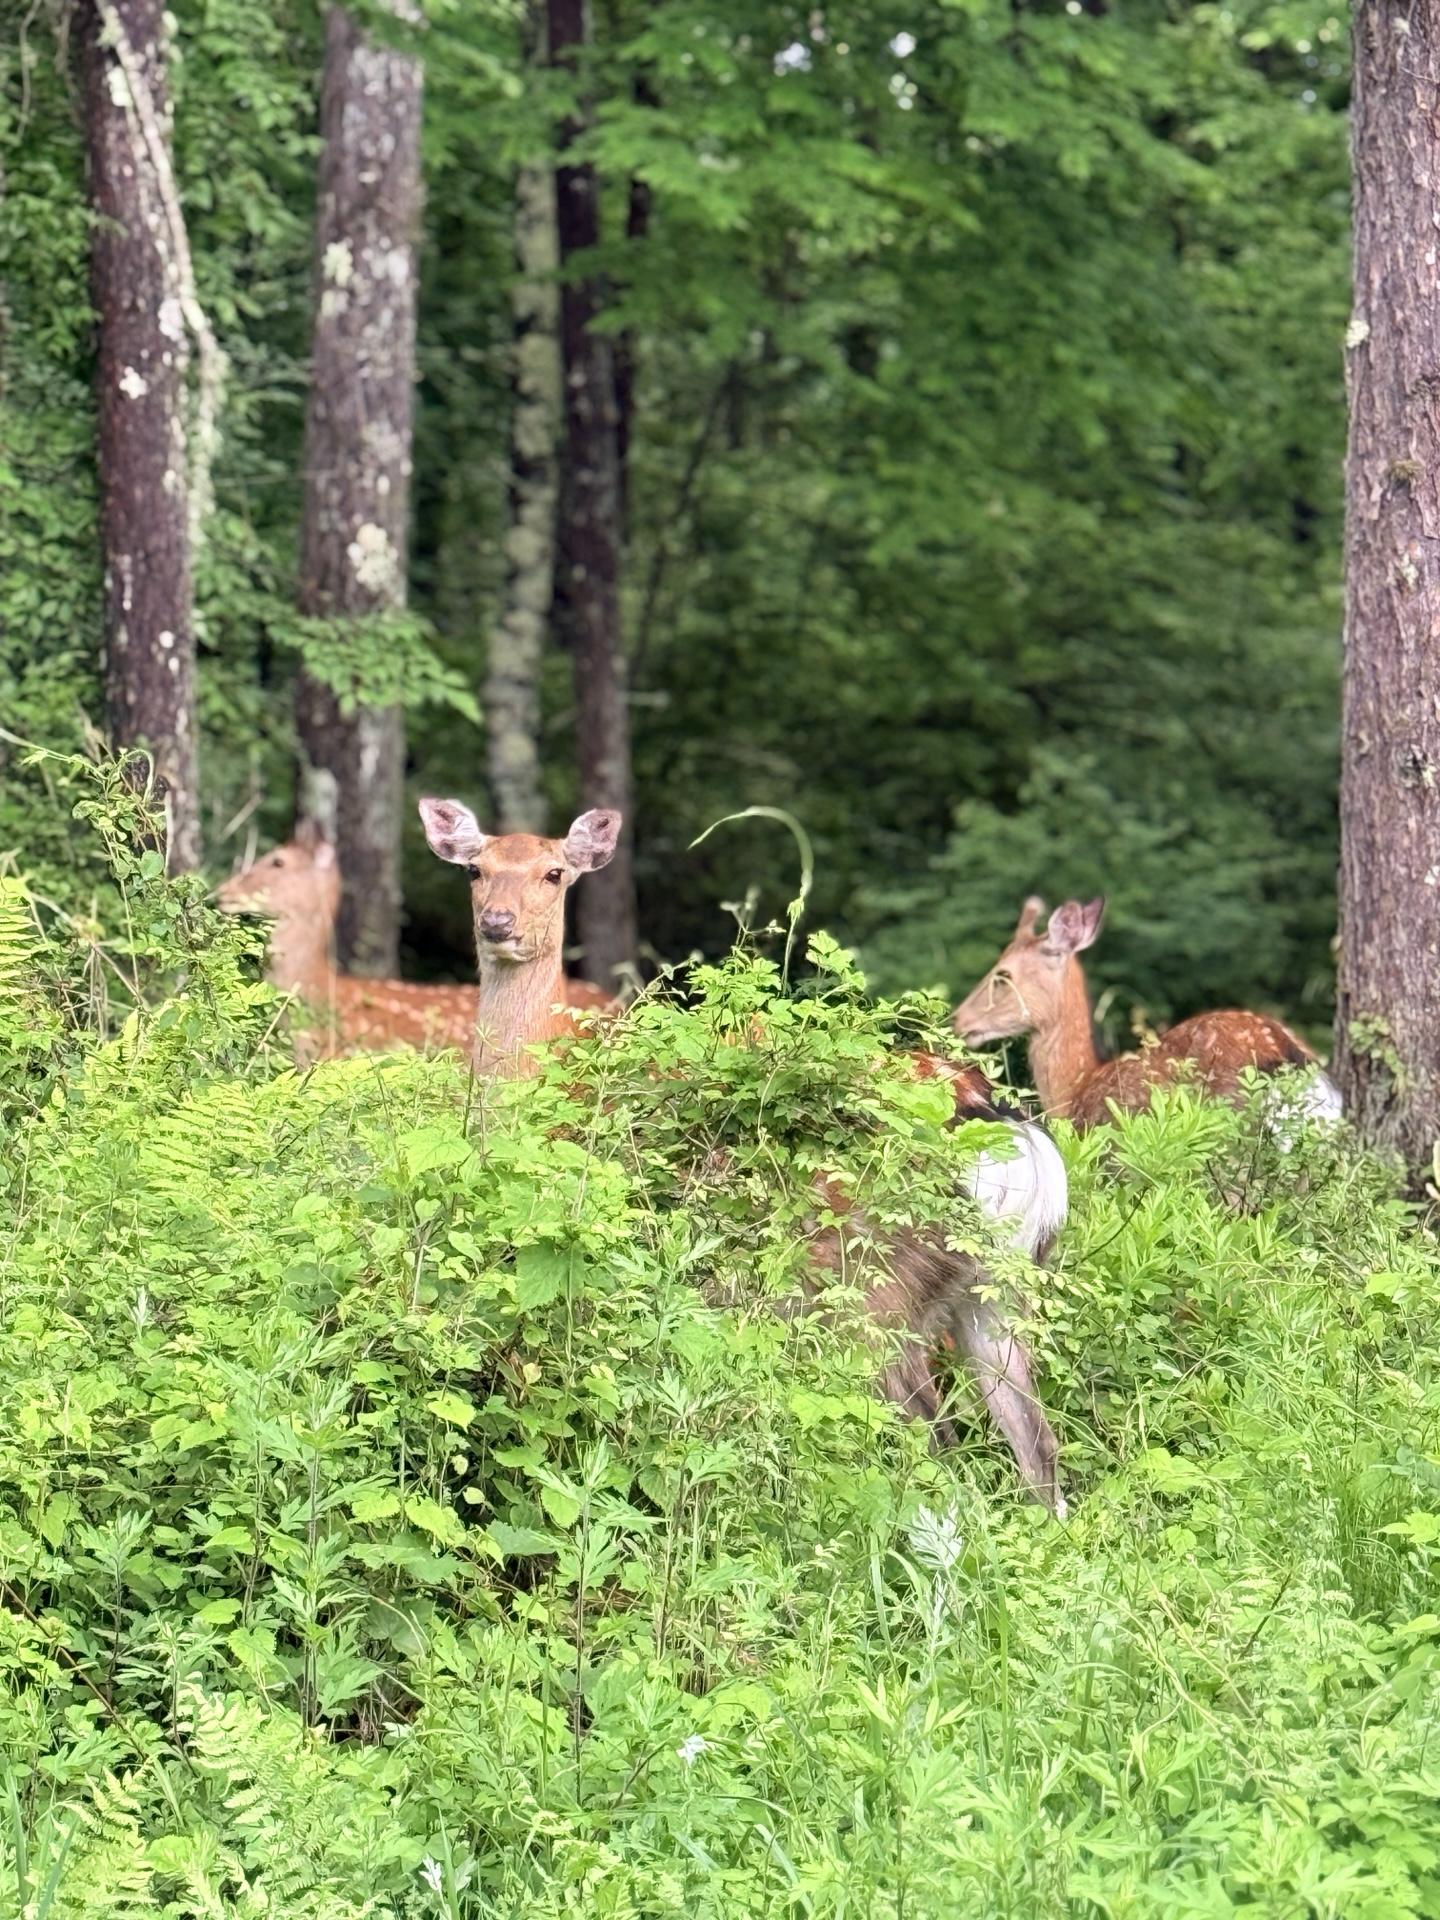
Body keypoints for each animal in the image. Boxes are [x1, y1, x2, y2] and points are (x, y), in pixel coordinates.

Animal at [420, 794, 1067, 1514]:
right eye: (475, 869)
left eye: (554, 872)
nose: (497, 923)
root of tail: (999, 1125)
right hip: (1001, 1290)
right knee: (1037, 1446)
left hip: (871, 1289)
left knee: (935, 1440)